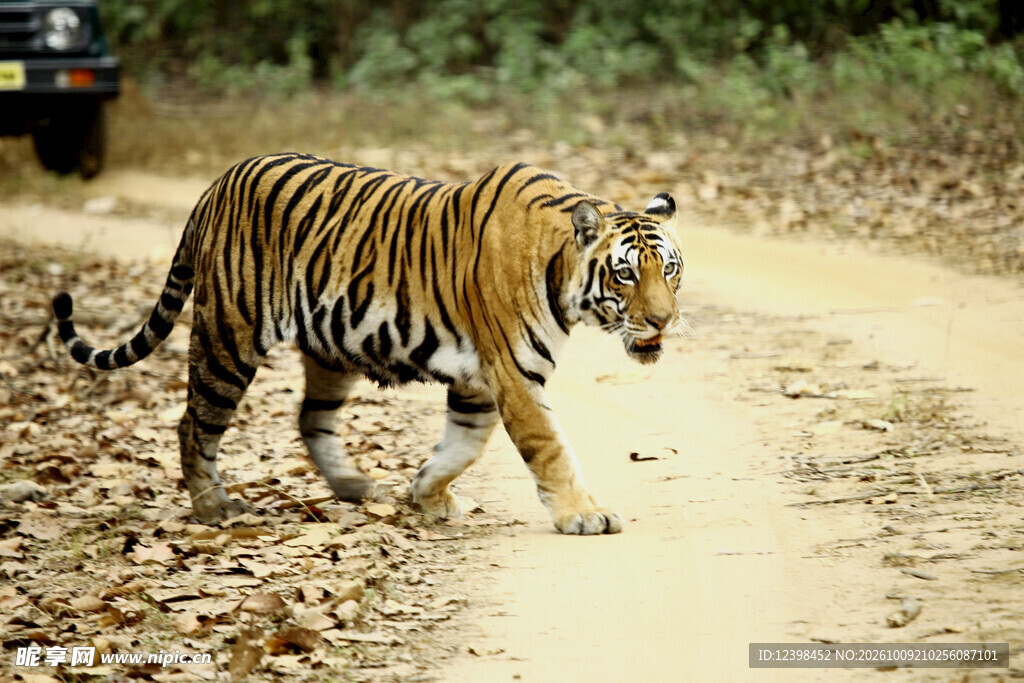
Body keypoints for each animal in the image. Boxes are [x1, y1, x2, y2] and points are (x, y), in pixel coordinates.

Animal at [52, 153, 684, 535]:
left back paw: (355, 486)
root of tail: (217, 183)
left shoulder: (479, 380)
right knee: (194, 423)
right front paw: (585, 515)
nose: (664, 320)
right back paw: (214, 507)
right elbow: (550, 448)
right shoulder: (512, 373)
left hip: (329, 346)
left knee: (310, 418)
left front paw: (427, 494)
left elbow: (463, 445)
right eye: (626, 275)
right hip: (228, 337)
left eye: (671, 270)